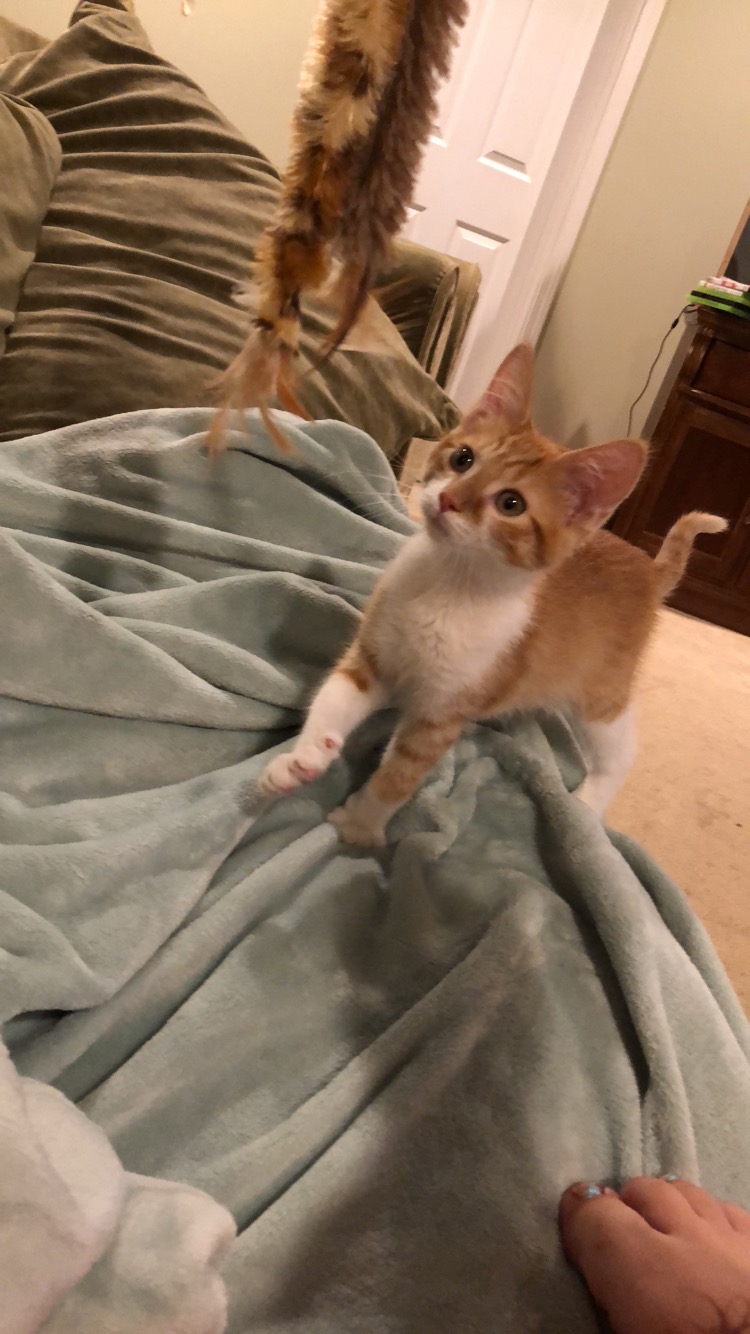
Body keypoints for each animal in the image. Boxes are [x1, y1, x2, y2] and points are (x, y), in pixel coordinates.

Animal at [260, 344, 720, 843]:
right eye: (463, 458)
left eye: (510, 504)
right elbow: (334, 697)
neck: (448, 584)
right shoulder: (373, 657)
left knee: (620, 749)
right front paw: (301, 759)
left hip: (601, 690)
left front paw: (360, 825)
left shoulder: (443, 712)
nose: (448, 500)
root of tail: (647, 566)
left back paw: (588, 803)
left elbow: (400, 774)